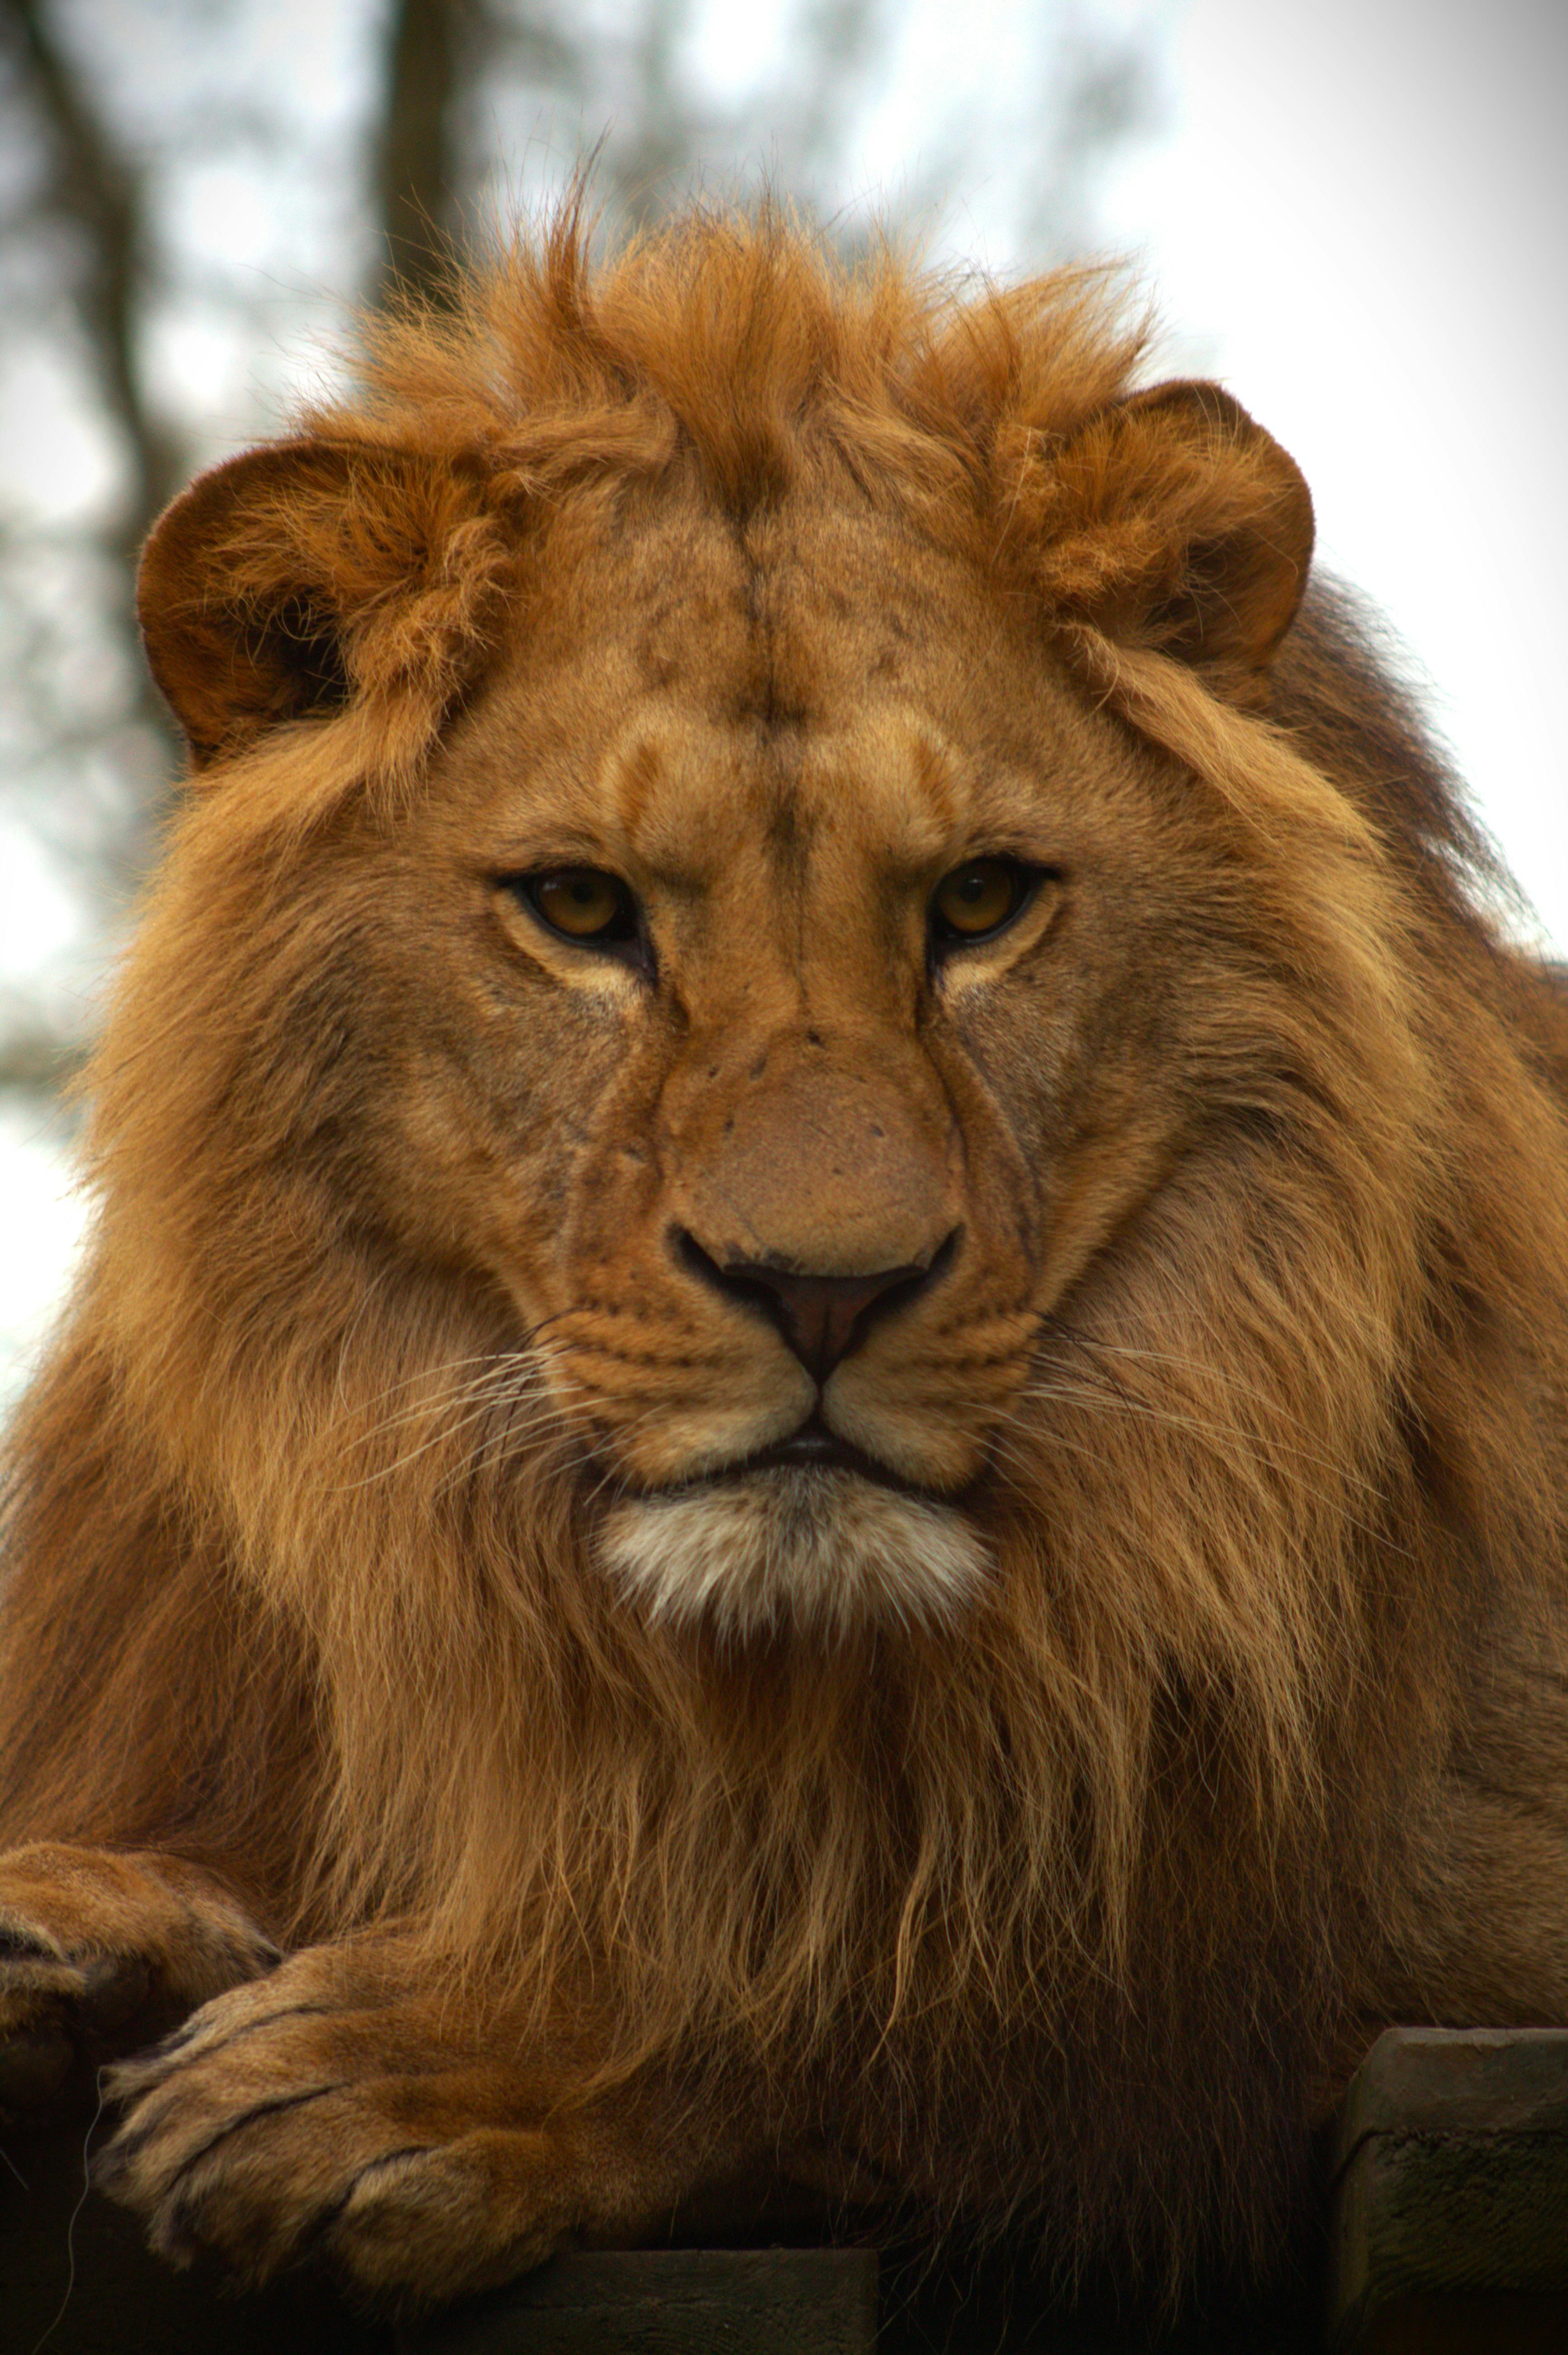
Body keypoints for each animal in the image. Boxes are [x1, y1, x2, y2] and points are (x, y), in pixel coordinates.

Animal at [2, 202, 1567, 2319]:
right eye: (579, 909)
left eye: (981, 900)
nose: (822, 1287)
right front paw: (74, 1914)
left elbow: (933, 1964)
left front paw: (421, 2057)